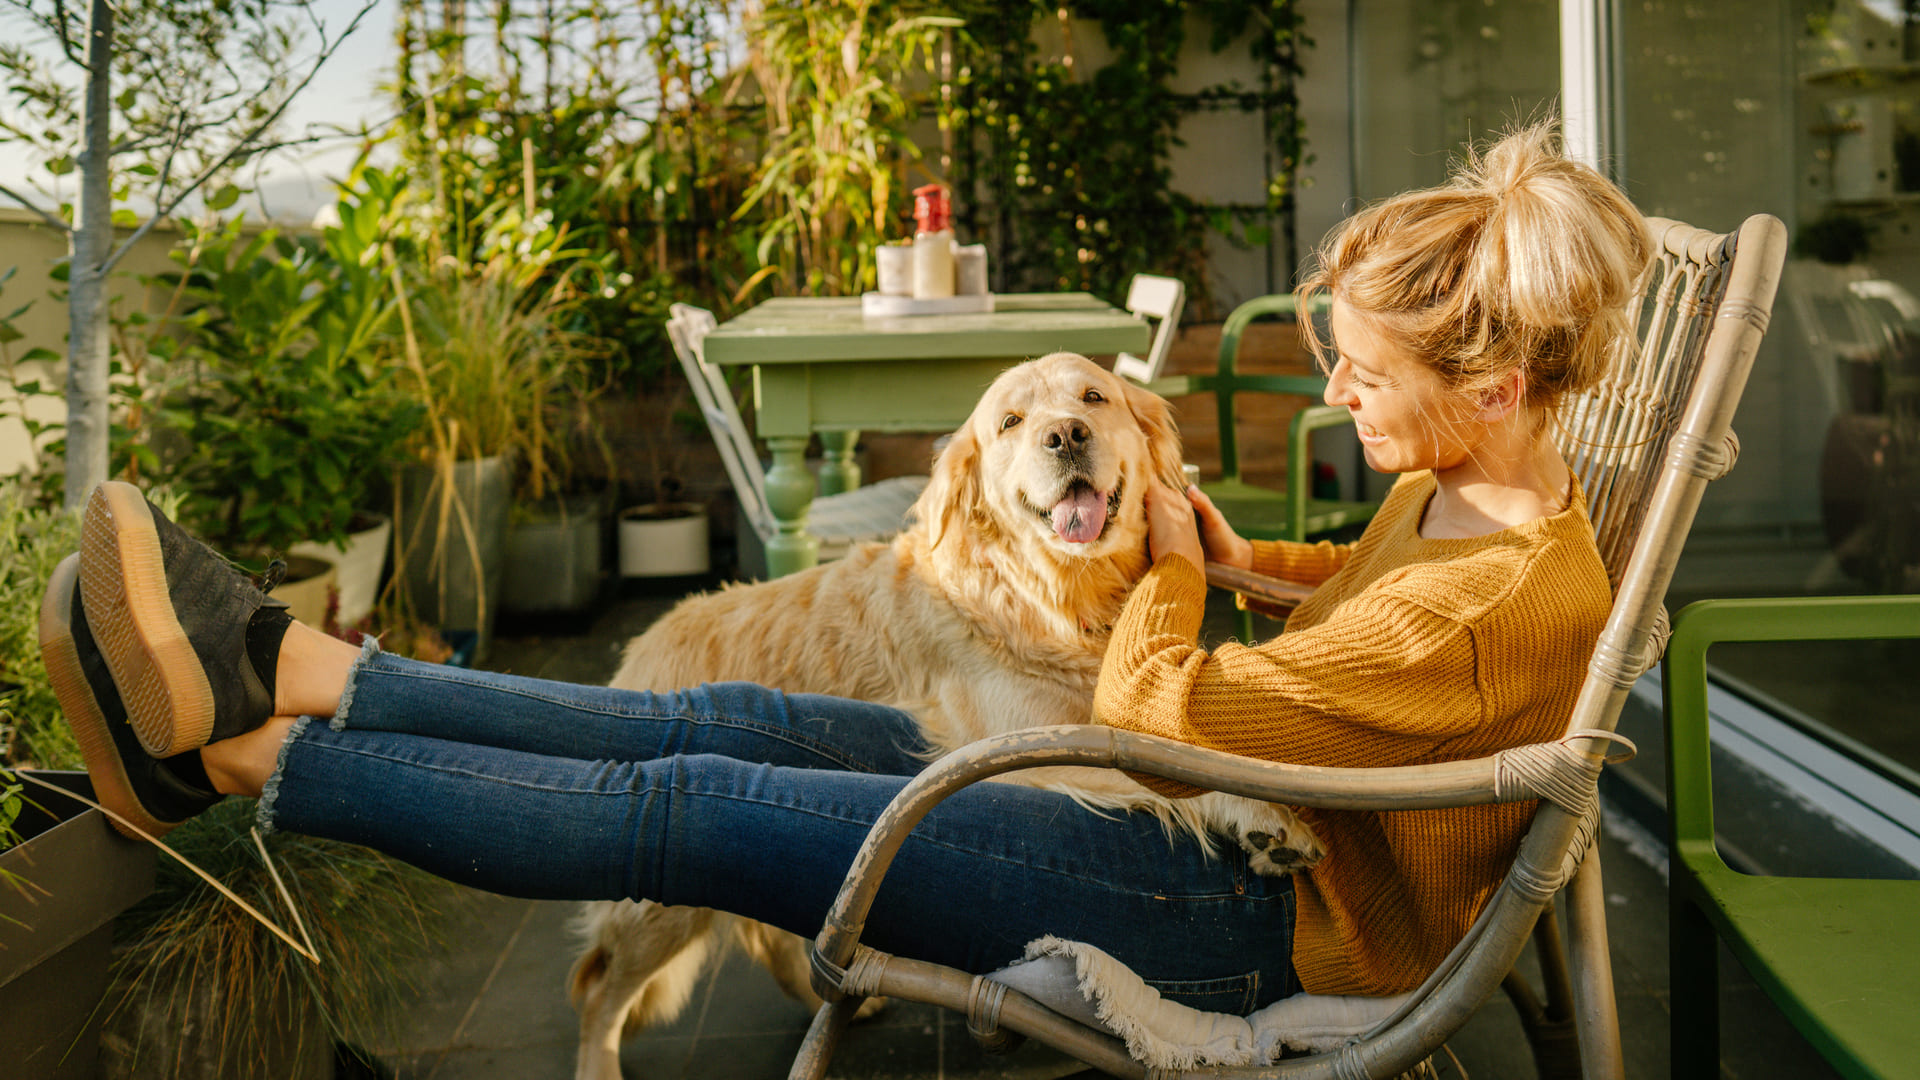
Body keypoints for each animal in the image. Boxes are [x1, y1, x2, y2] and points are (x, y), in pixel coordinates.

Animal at [564, 349, 1320, 1068]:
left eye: (1093, 397)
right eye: (1011, 422)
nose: (1066, 435)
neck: (1057, 597)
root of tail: (644, 643)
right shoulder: (1023, 751)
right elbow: (1175, 769)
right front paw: (1264, 815)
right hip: (656, 912)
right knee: (601, 987)